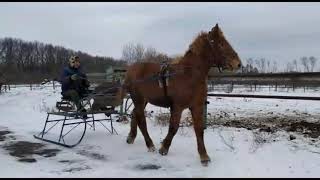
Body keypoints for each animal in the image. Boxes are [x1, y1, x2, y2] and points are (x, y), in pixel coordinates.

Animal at [116, 23, 241, 166]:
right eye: (220, 43)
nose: (238, 63)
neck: (188, 75)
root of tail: (130, 70)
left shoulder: (197, 106)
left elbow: (199, 130)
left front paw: (204, 156)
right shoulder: (177, 107)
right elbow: (173, 127)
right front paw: (164, 148)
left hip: (143, 100)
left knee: (134, 115)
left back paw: (131, 137)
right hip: (138, 99)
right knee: (141, 120)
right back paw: (150, 144)